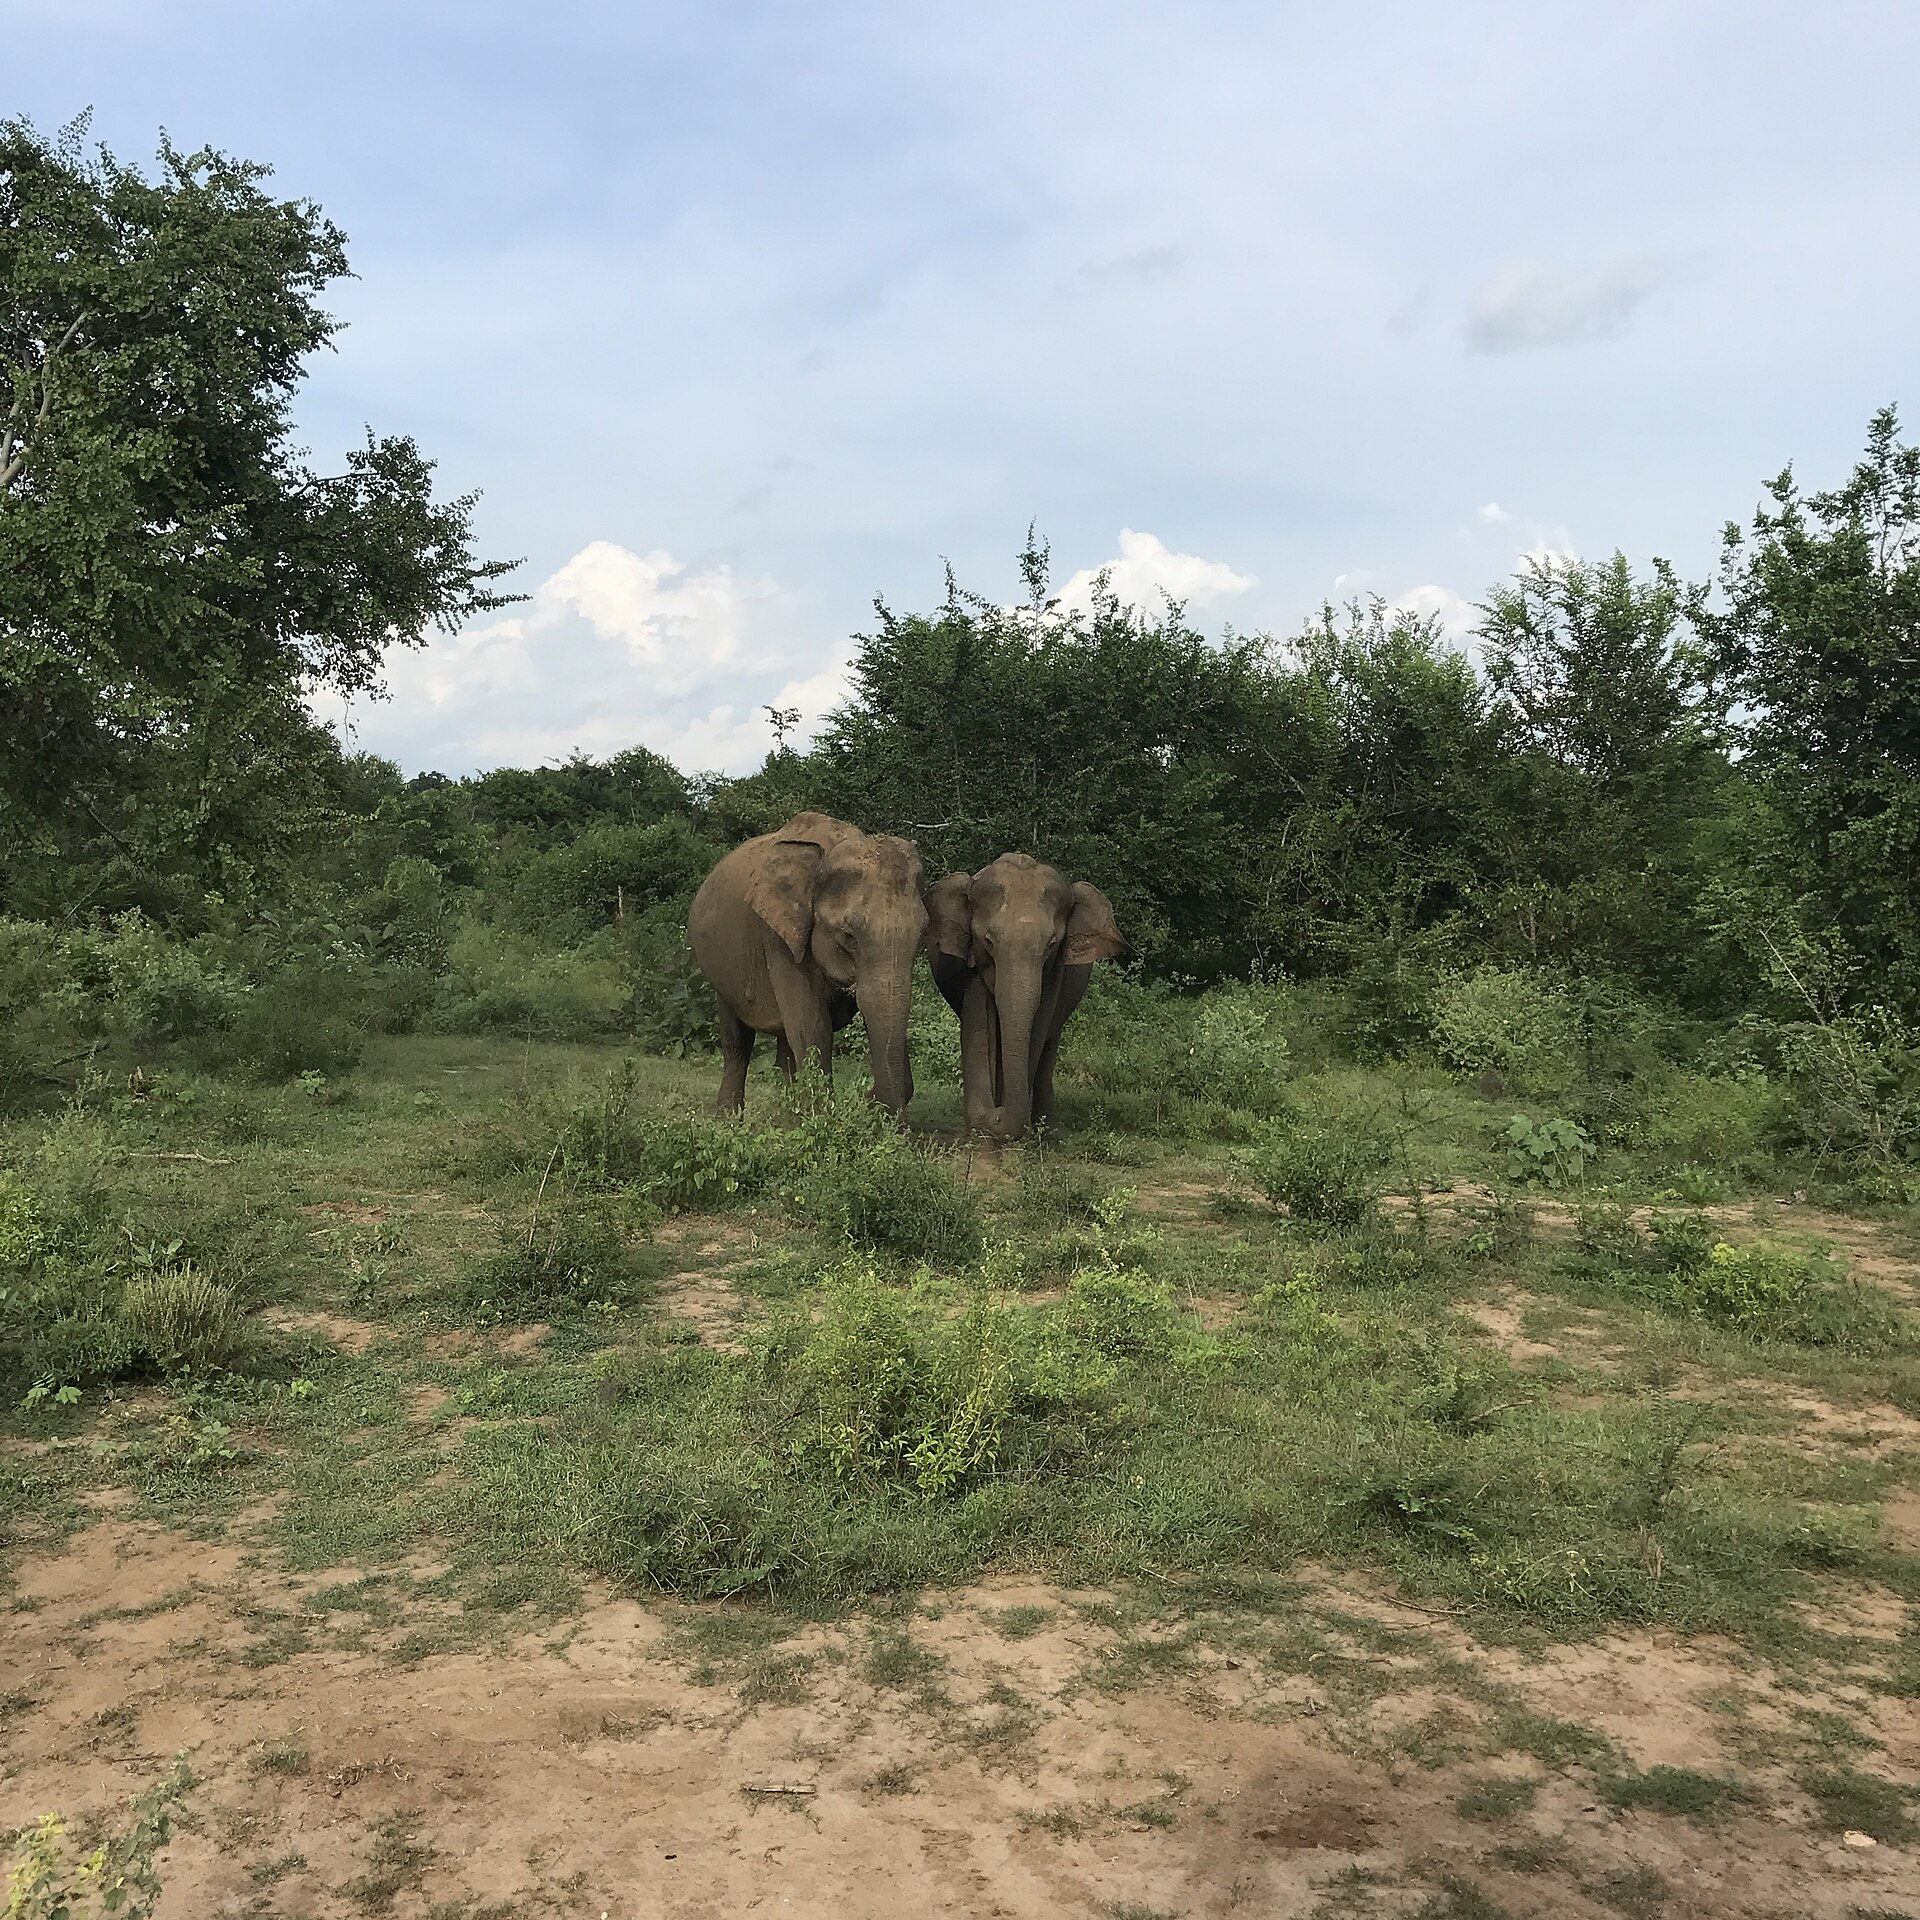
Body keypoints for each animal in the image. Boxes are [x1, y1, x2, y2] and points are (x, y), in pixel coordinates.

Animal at [688, 810, 926, 1117]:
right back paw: (729, 1119)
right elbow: (813, 1026)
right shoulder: (779, 936)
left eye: (922, 934)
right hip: (721, 972)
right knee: (737, 1042)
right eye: (848, 936)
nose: (866, 1095)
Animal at [925, 853, 1127, 1140]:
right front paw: (981, 1130)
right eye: (988, 942)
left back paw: (1049, 1135)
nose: (995, 1115)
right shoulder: (971, 964)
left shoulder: (1055, 972)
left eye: (1051, 944)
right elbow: (978, 1024)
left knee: (1049, 1047)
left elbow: (1038, 1026)